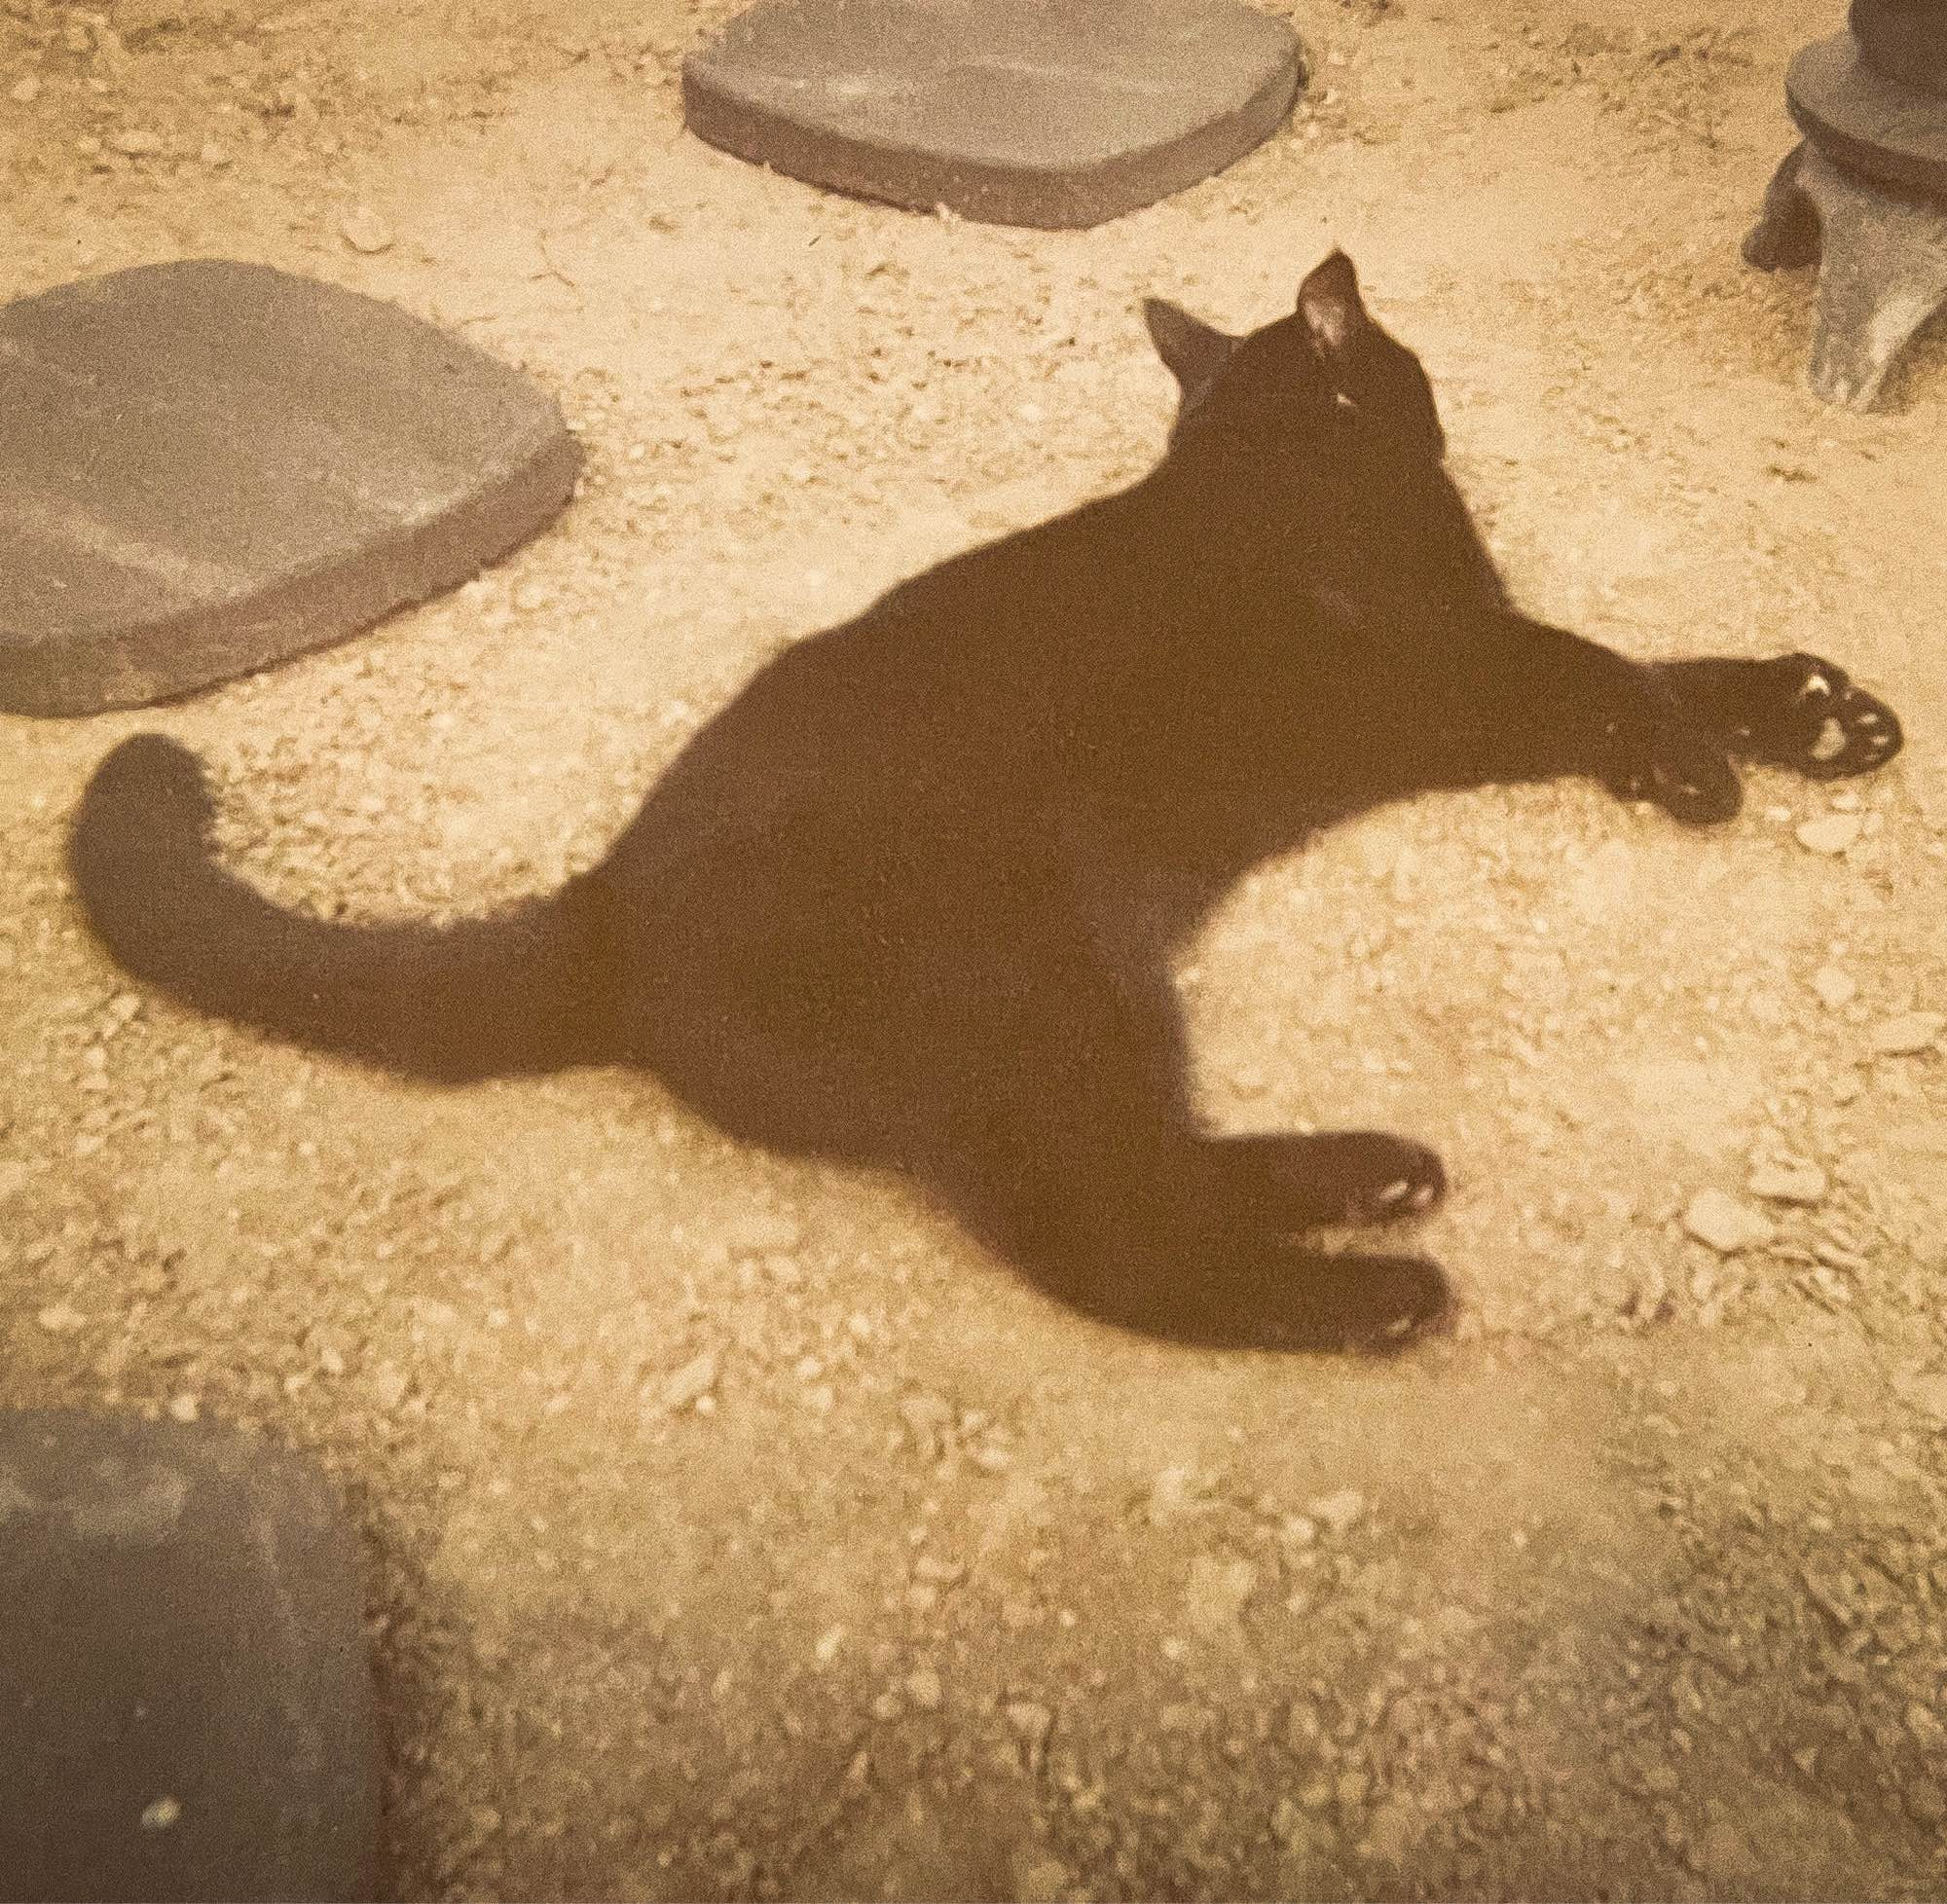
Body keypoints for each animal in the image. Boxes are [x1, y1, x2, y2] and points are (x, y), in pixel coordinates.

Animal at [72, 253, 1900, 1347]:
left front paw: (1818, 714)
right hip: (1047, 991)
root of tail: (609, 902)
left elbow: (1664, 659)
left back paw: (1370, 1183)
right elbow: (1610, 669)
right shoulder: (1448, 669)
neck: (1270, 461)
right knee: (1108, 1239)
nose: (1437, 390)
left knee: (1140, 1181)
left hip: (1088, 1001)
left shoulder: (1468, 671)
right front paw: (1703, 762)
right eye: (1402, 364)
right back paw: (1383, 1276)